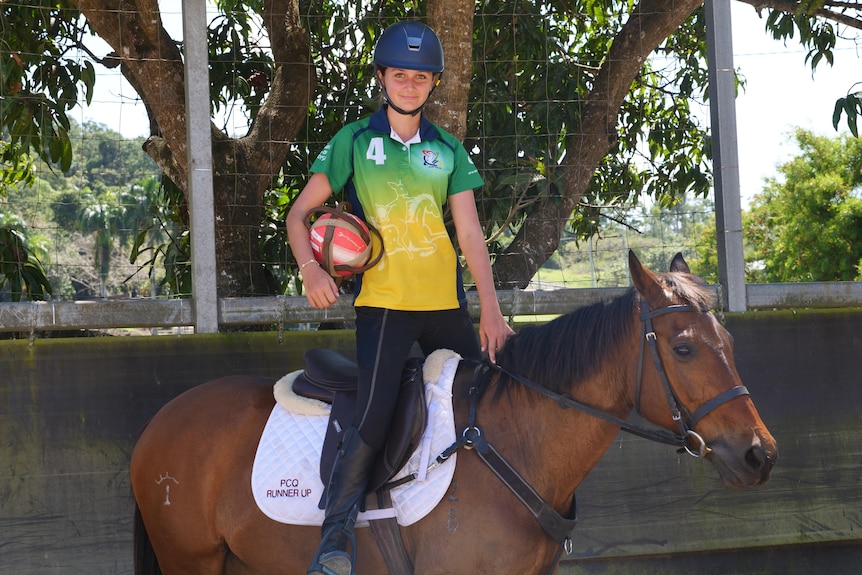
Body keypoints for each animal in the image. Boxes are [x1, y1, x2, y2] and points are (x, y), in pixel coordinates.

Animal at [132, 253, 780, 575]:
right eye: (684, 348)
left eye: (726, 340)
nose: (760, 454)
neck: (511, 444)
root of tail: (161, 420)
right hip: (190, 561)